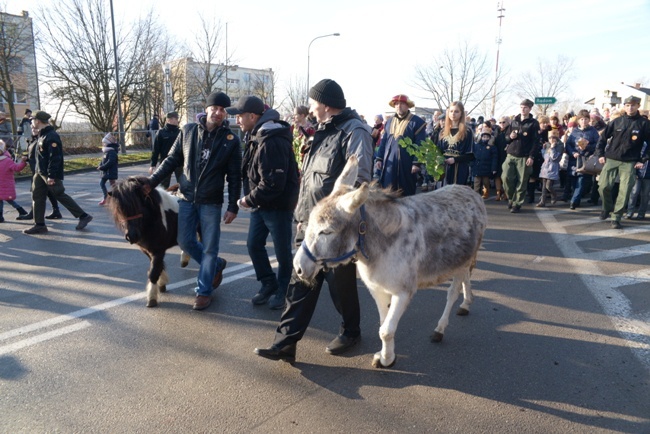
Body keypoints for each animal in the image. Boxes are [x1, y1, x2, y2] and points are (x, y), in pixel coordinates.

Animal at [294, 156, 486, 366]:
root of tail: (469, 191)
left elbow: (386, 331)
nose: (298, 267)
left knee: (452, 293)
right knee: (465, 279)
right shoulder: (377, 289)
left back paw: (440, 329)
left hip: (462, 261)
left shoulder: (403, 292)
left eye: (326, 231)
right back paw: (466, 303)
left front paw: (386, 360)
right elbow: (383, 326)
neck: (380, 245)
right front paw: (386, 355)